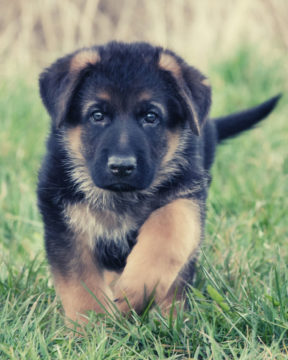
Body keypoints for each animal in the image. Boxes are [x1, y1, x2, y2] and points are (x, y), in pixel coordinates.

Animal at [37, 41, 280, 320]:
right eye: (97, 115)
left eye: (151, 117)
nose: (122, 167)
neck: (121, 197)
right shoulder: (64, 223)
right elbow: (80, 285)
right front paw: (92, 326)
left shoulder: (187, 194)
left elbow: (169, 229)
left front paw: (133, 291)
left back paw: (171, 315)